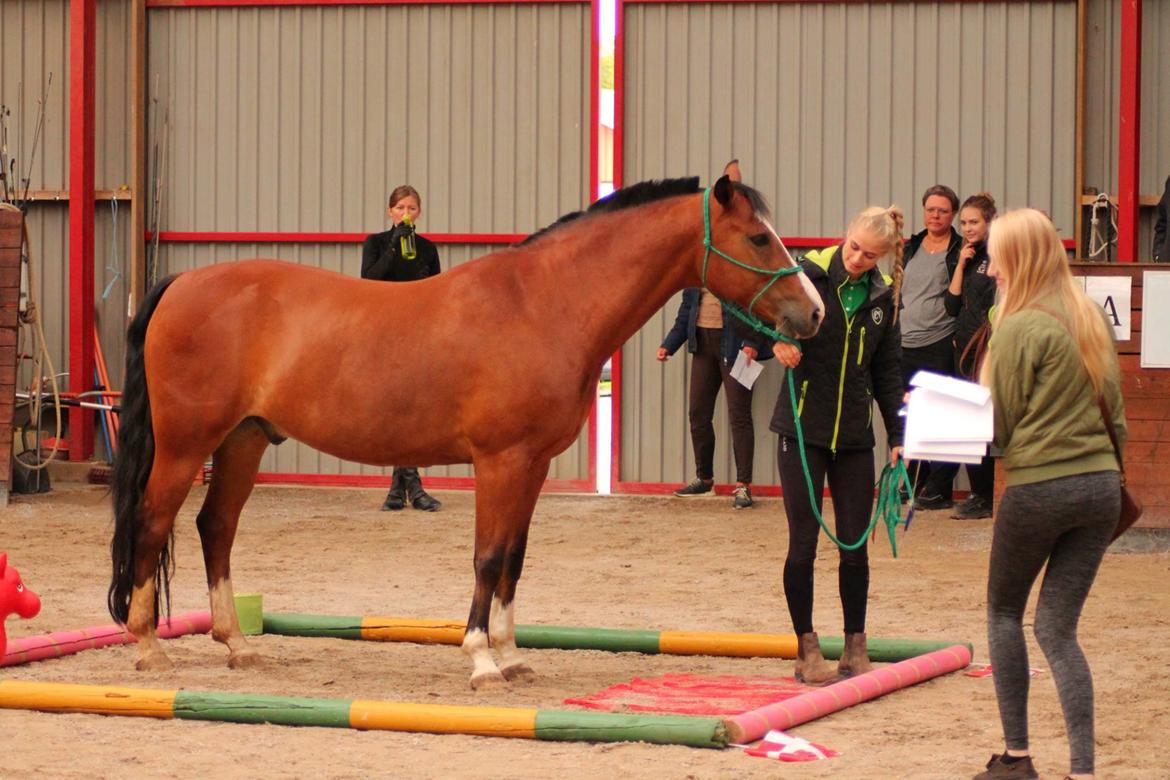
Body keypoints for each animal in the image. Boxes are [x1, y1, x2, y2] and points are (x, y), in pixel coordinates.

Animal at [109, 170, 823, 687]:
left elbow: (514, 556)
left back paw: (236, 644)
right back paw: (148, 649)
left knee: (215, 528)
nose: (814, 313)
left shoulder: (532, 464)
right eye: (759, 239)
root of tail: (181, 283)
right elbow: (487, 556)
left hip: (245, 439)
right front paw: (480, 659)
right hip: (185, 446)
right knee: (151, 523)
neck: (542, 303)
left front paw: (512, 655)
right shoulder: (500, 461)